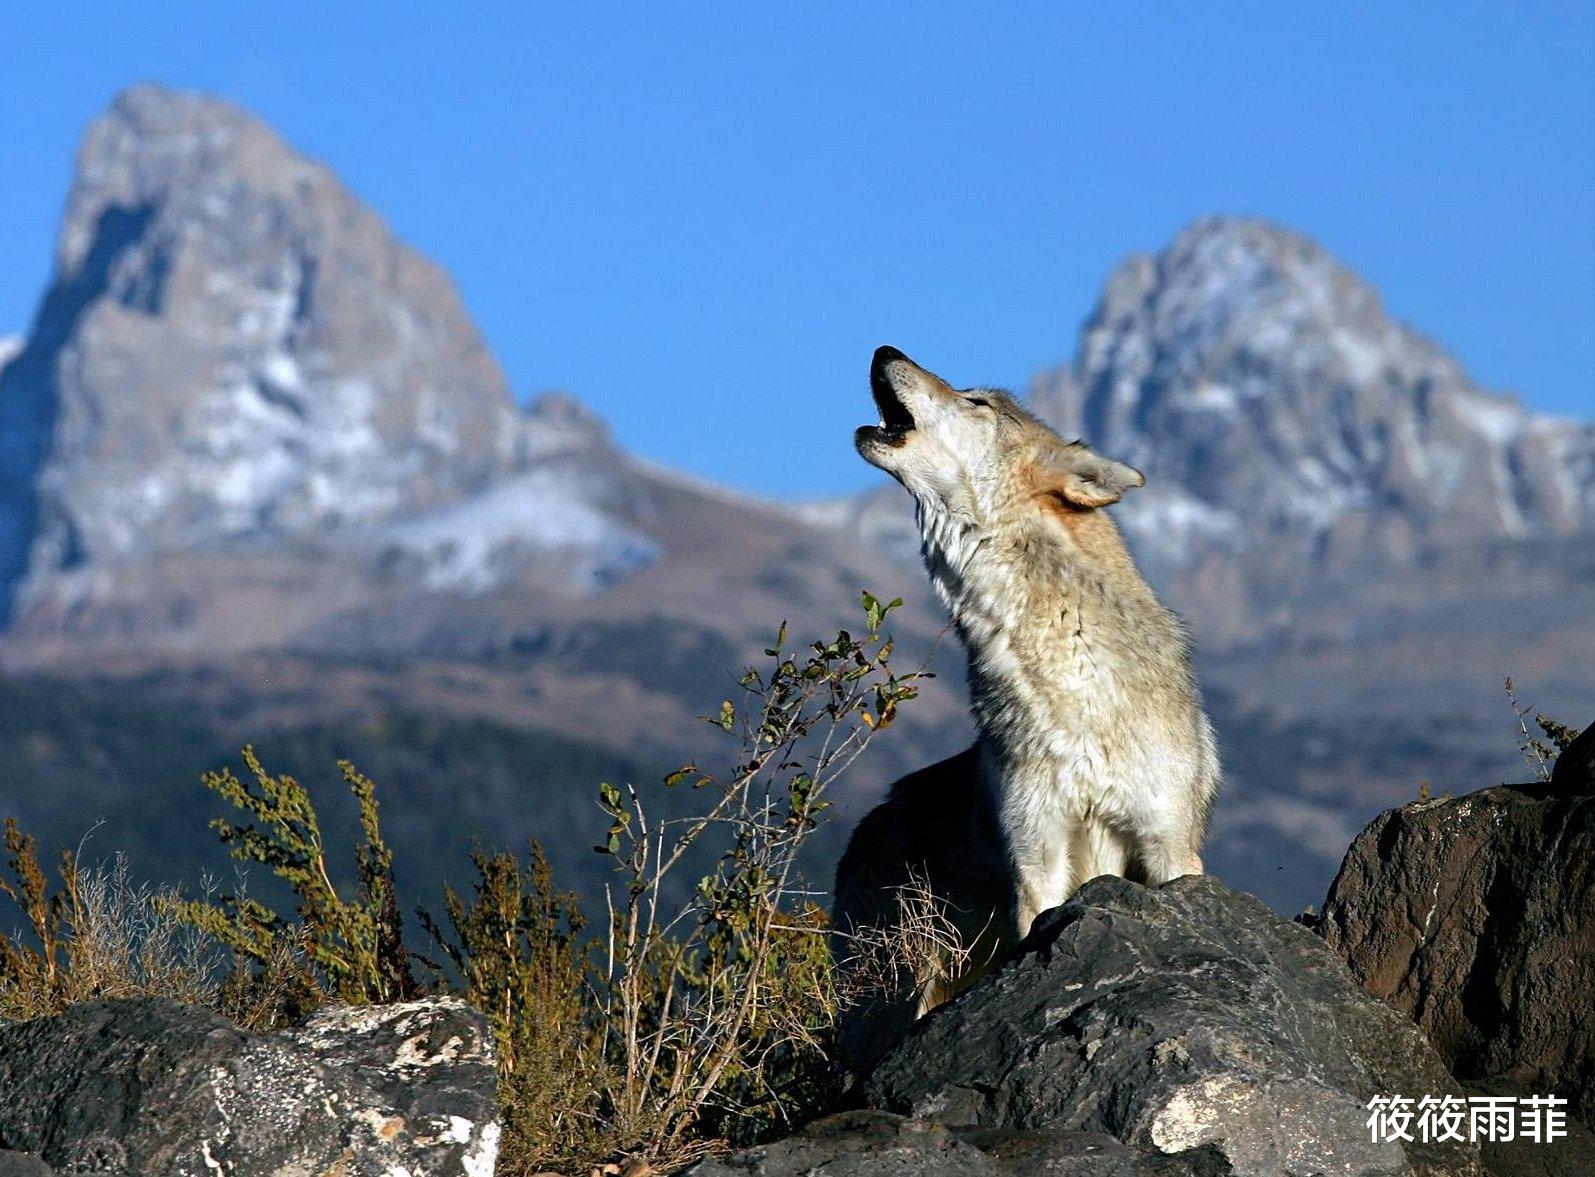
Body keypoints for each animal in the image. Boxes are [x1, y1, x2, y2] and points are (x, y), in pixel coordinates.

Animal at [829, 344, 1212, 1065]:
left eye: (977, 402)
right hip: (891, 988)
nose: (885, 350)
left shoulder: (1168, 846)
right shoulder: (1037, 858)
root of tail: (867, 823)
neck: (1072, 686)